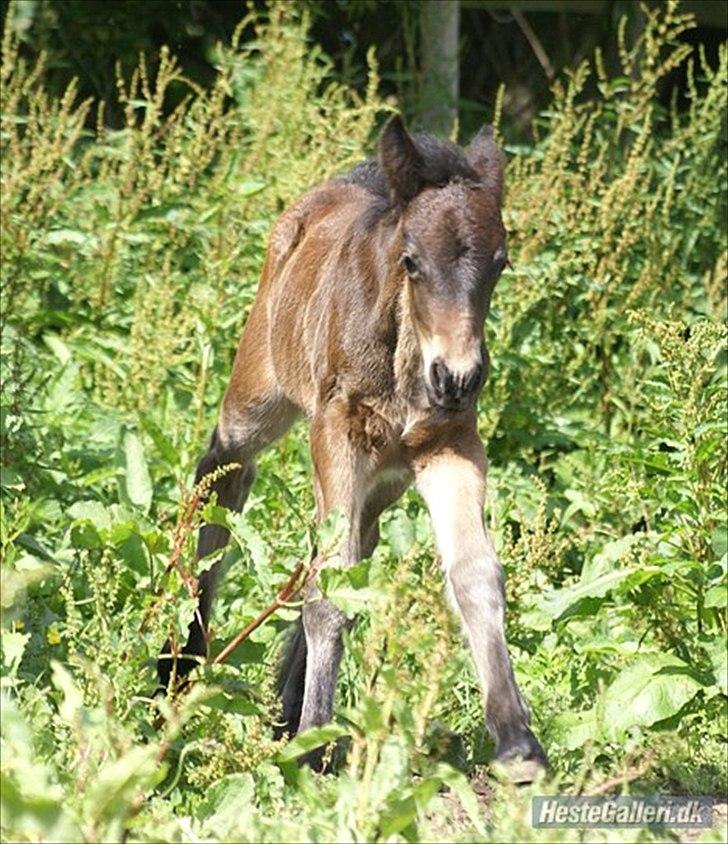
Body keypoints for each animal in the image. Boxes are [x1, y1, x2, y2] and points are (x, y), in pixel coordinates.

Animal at [157, 114, 547, 782]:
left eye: (499, 263)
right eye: (412, 261)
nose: (458, 377)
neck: (405, 357)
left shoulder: (450, 445)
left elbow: (474, 575)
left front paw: (517, 743)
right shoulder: (335, 433)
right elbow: (331, 589)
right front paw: (313, 743)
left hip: (383, 477)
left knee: (346, 546)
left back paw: (282, 703)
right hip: (262, 396)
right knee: (223, 473)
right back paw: (180, 667)